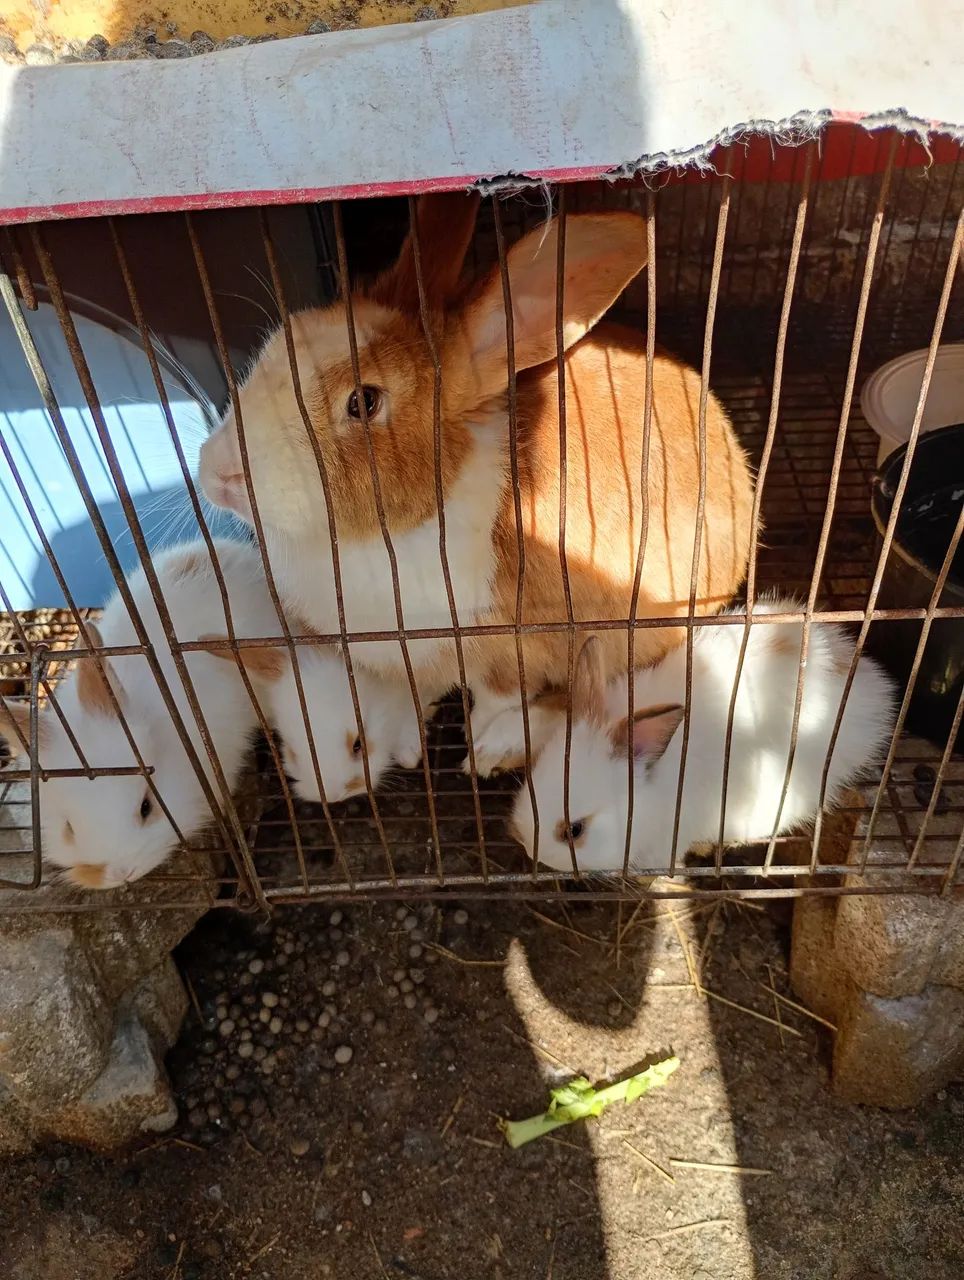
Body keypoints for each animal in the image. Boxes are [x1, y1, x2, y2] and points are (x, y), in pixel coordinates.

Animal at [198, 192, 755, 777]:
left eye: (364, 402)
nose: (216, 471)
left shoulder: (513, 643)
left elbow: (500, 692)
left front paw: (481, 744)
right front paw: (408, 743)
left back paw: (499, 748)